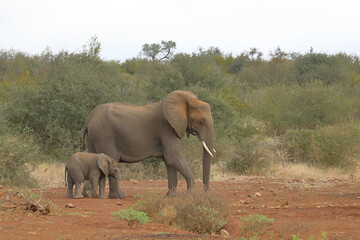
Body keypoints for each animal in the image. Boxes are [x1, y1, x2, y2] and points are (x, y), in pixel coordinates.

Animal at [81, 90, 214, 197]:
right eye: (202, 121)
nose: (205, 192)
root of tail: (88, 119)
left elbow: (169, 161)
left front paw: (170, 196)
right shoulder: (167, 128)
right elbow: (173, 157)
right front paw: (190, 196)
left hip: (94, 136)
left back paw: (88, 194)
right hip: (104, 135)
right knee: (111, 159)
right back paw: (118, 196)